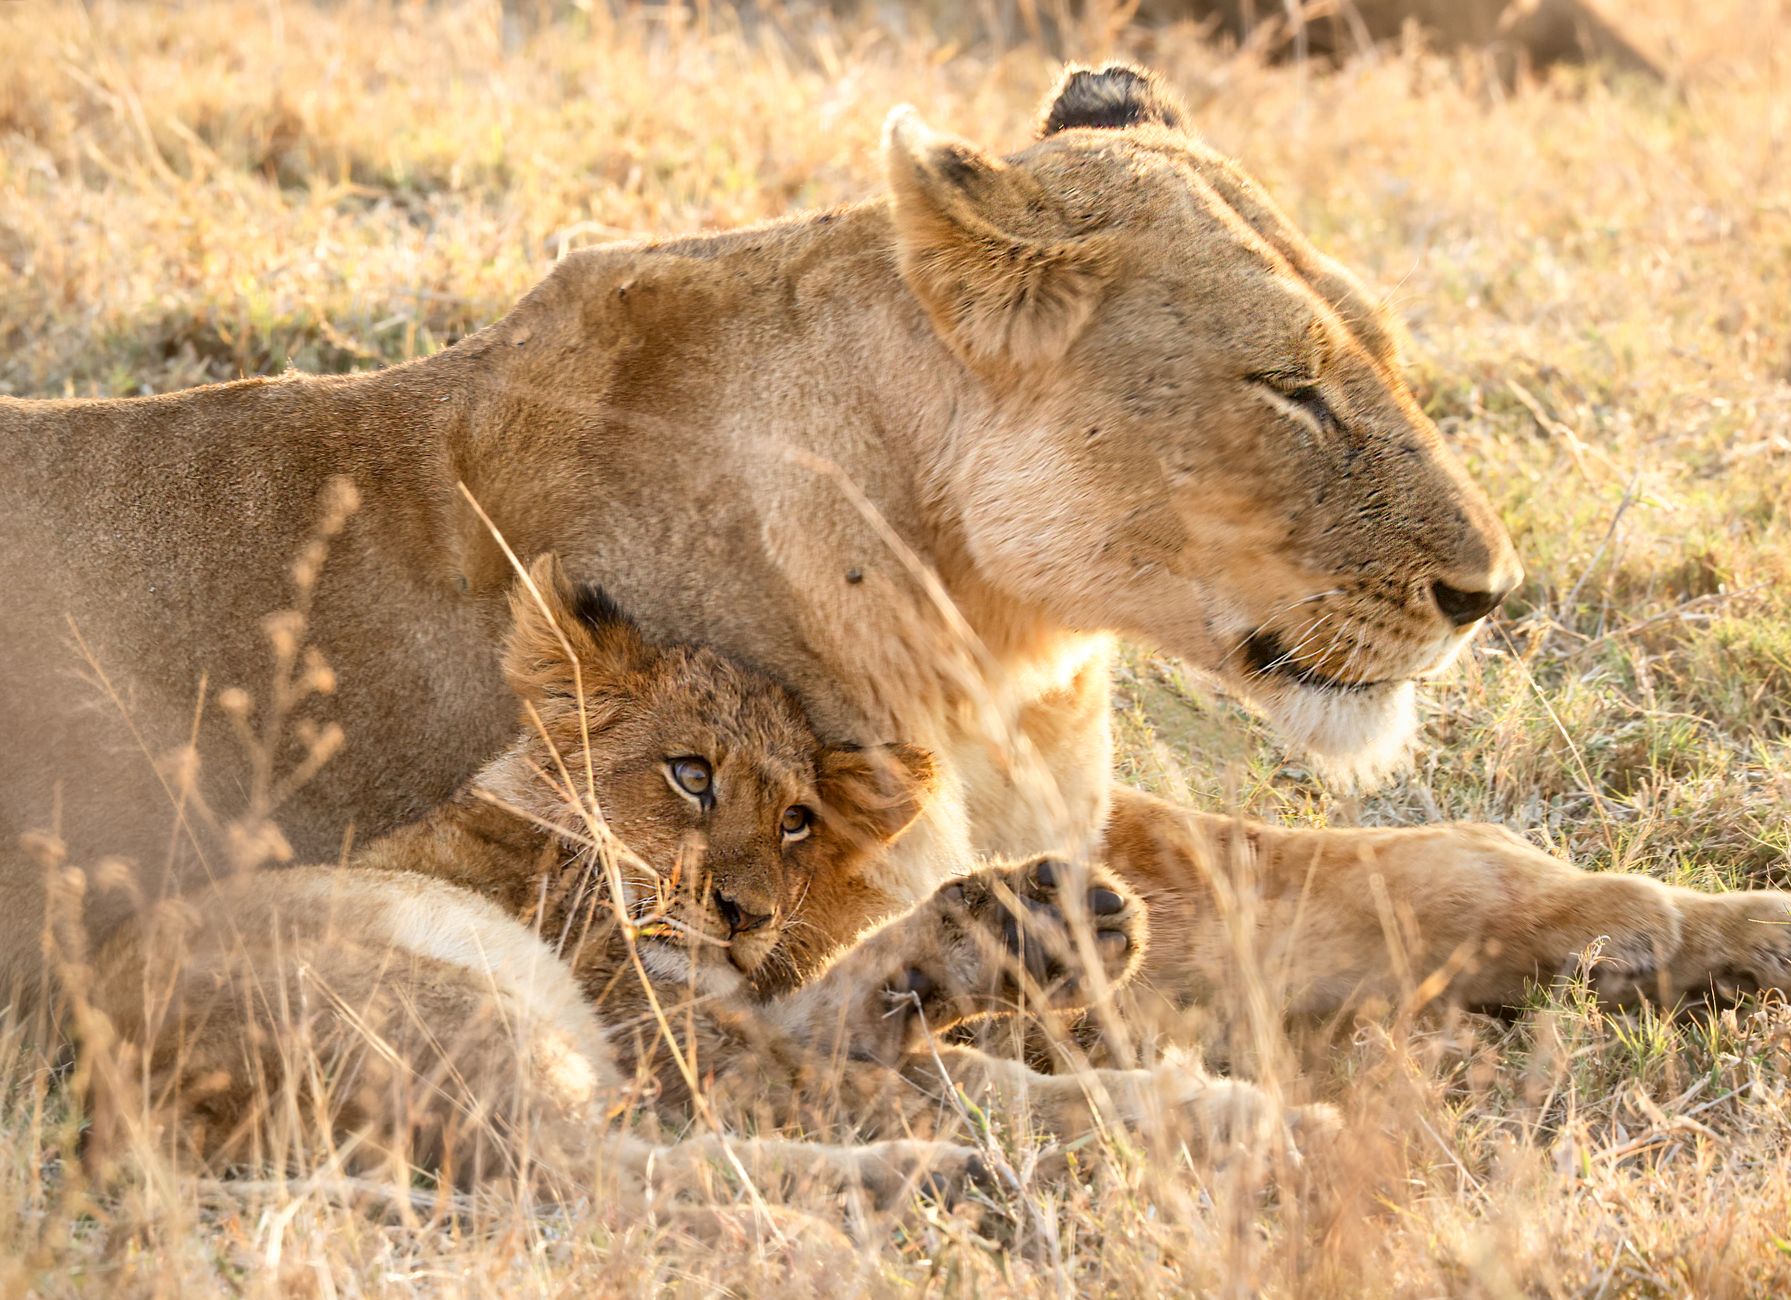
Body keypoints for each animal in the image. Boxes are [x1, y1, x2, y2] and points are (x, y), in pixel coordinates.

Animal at [4, 64, 1788, 1044]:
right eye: (1286, 389)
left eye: (1388, 356)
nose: (1488, 595)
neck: (1006, 636)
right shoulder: (825, 916)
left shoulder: (1069, 832)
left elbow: (1417, 869)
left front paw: (1706, 930)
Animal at [84, 557, 1324, 1196]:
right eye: (689, 774)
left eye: (796, 820)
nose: (745, 913)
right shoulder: (658, 1019)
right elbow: (863, 1062)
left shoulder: (724, 1005)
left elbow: (992, 1066)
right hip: (453, 1005)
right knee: (599, 1179)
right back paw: (928, 1179)